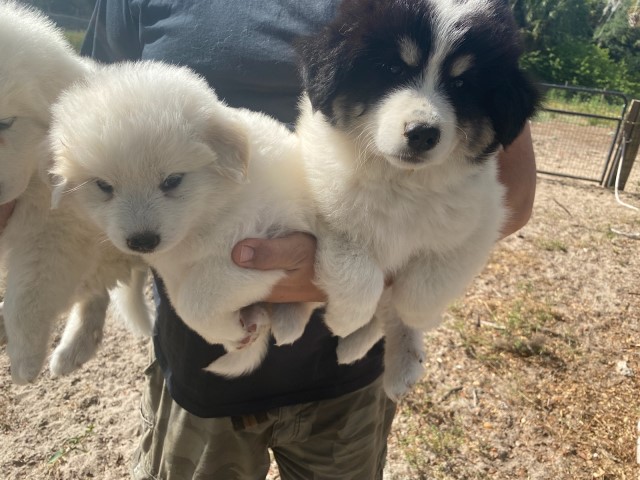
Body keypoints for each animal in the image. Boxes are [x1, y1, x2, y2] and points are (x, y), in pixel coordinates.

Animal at [48, 59, 318, 376]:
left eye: (173, 180)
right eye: (103, 185)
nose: (142, 241)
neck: (209, 212)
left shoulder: (256, 245)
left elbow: (194, 302)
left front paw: (235, 331)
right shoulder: (174, 269)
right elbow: (181, 304)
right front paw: (236, 333)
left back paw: (287, 322)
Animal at [296, 0, 540, 400]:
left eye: (461, 84)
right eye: (393, 68)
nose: (423, 134)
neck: (401, 182)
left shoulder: (477, 228)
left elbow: (420, 291)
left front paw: (413, 320)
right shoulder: (321, 206)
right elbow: (360, 274)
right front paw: (345, 319)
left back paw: (398, 364)